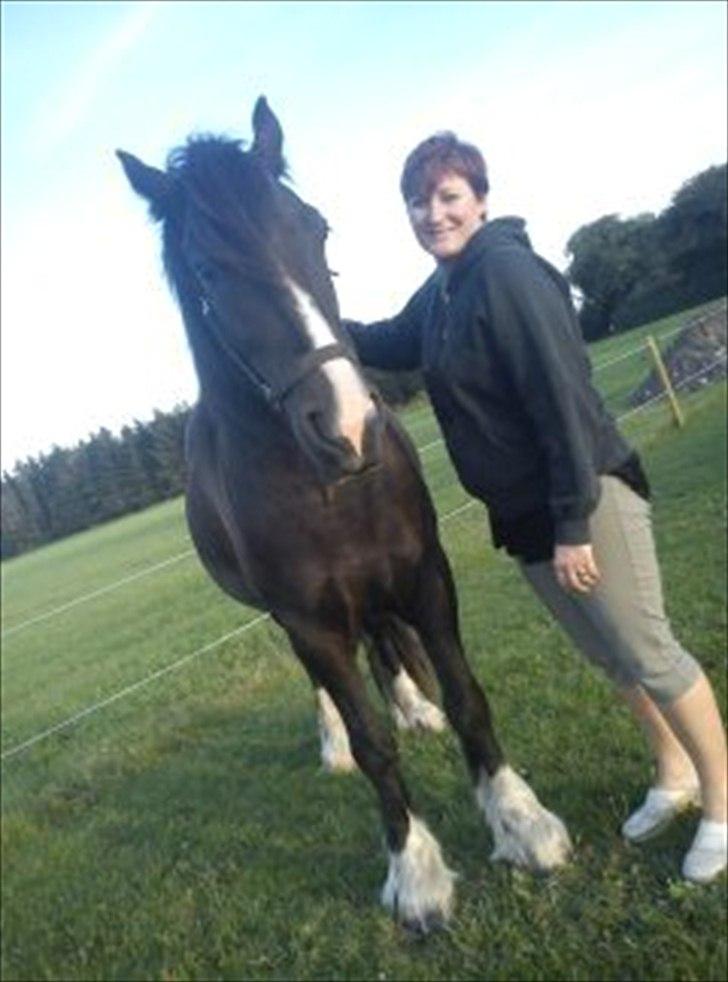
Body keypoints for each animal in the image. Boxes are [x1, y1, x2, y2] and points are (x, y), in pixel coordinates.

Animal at [117, 97, 572, 932]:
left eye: (317, 227)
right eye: (208, 270)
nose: (349, 425)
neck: (322, 489)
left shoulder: (425, 577)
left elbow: (467, 697)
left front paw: (522, 823)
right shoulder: (309, 621)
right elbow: (370, 744)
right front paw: (416, 872)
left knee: (385, 642)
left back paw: (412, 703)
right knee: (334, 687)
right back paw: (333, 733)